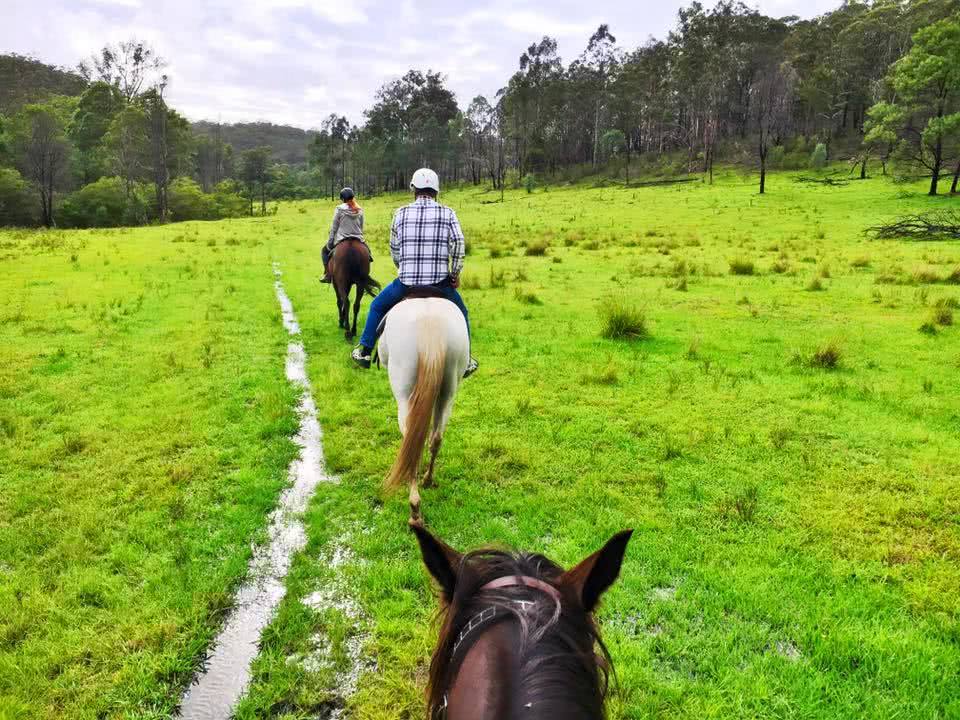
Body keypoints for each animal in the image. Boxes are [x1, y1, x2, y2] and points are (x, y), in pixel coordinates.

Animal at [379, 297, 469, 522]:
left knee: (410, 440)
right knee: (436, 437)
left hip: (404, 392)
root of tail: (430, 322)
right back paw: (427, 480)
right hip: (449, 388)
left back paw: (414, 507)